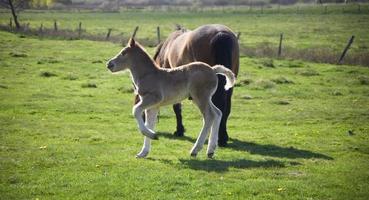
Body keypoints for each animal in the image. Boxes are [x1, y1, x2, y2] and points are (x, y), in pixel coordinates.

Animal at [105, 38, 234, 159]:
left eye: (123, 53)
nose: (109, 64)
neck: (148, 75)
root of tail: (213, 69)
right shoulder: (153, 107)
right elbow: (149, 124)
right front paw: (143, 152)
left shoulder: (153, 98)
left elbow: (136, 110)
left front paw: (153, 135)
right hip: (206, 98)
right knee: (217, 113)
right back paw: (210, 151)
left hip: (200, 97)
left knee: (209, 116)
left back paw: (195, 150)